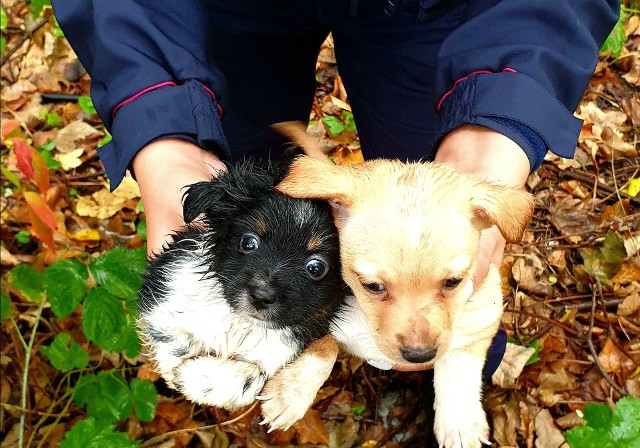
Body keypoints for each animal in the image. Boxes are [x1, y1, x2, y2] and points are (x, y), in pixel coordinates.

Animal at [138, 161, 348, 412]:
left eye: (316, 268)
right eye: (248, 243)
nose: (261, 296)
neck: (241, 323)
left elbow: (253, 380)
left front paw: (199, 380)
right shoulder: (167, 281)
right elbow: (173, 336)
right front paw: (176, 369)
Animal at [262, 157, 532, 448]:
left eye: (453, 281)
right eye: (372, 286)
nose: (420, 356)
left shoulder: (481, 314)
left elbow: (458, 367)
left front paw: (459, 425)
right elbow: (323, 346)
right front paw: (290, 393)